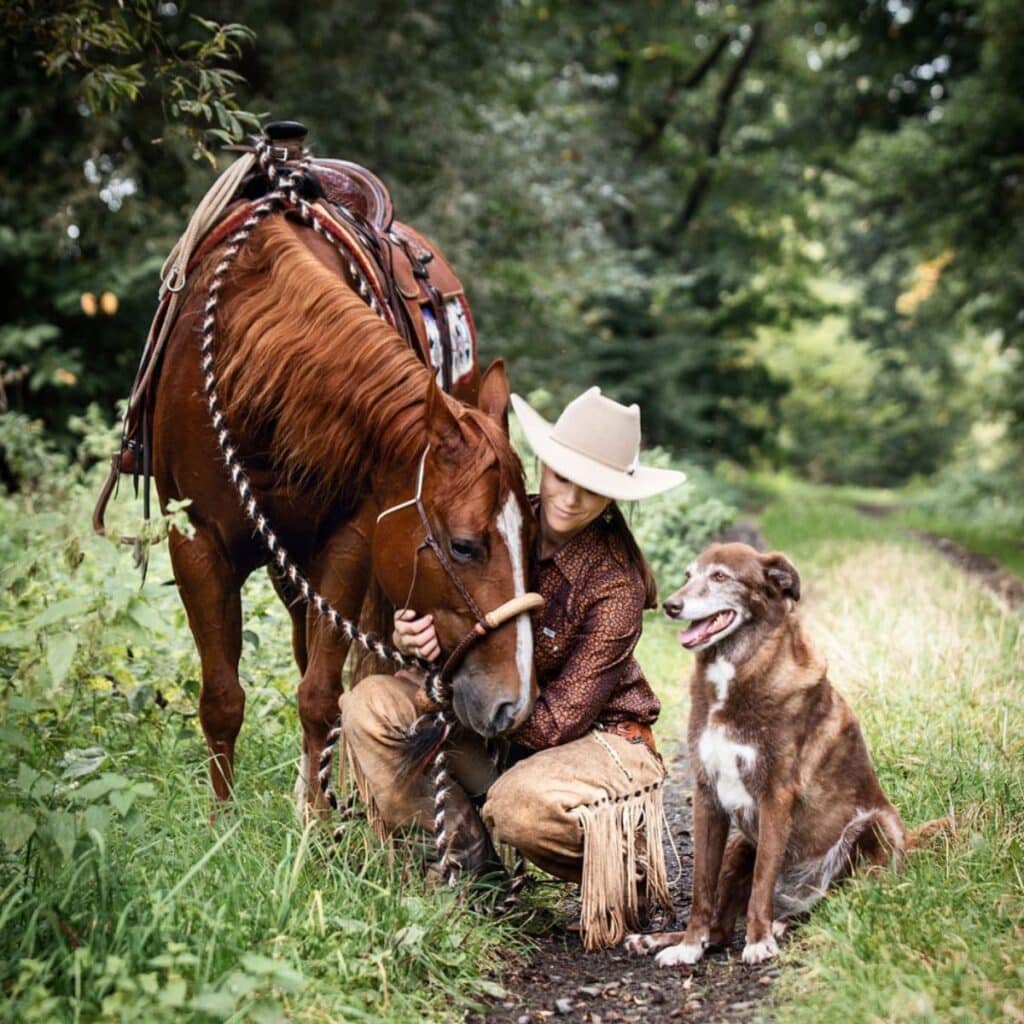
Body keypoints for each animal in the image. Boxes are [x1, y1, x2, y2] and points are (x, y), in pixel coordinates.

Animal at [151, 211, 539, 805]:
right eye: (463, 546)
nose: (513, 704)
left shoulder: (349, 541)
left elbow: (319, 696)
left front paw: (316, 818)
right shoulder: (195, 543)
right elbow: (221, 698)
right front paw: (222, 817)